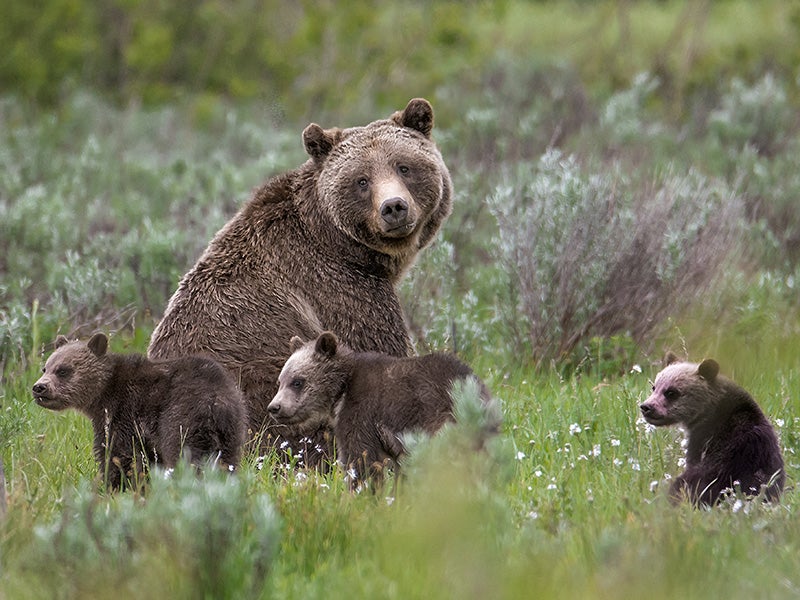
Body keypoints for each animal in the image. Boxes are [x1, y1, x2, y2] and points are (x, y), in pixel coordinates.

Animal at [32, 333, 248, 491]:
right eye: (45, 368)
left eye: (63, 370)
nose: (39, 388)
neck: (103, 393)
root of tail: (216, 402)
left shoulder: (123, 413)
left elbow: (116, 455)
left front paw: (110, 485)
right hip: (231, 429)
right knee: (227, 460)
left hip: (181, 417)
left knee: (187, 457)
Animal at [267, 331, 500, 487]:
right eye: (280, 381)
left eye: (297, 381)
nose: (274, 407)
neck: (341, 390)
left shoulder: (362, 412)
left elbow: (361, 460)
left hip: (440, 421)